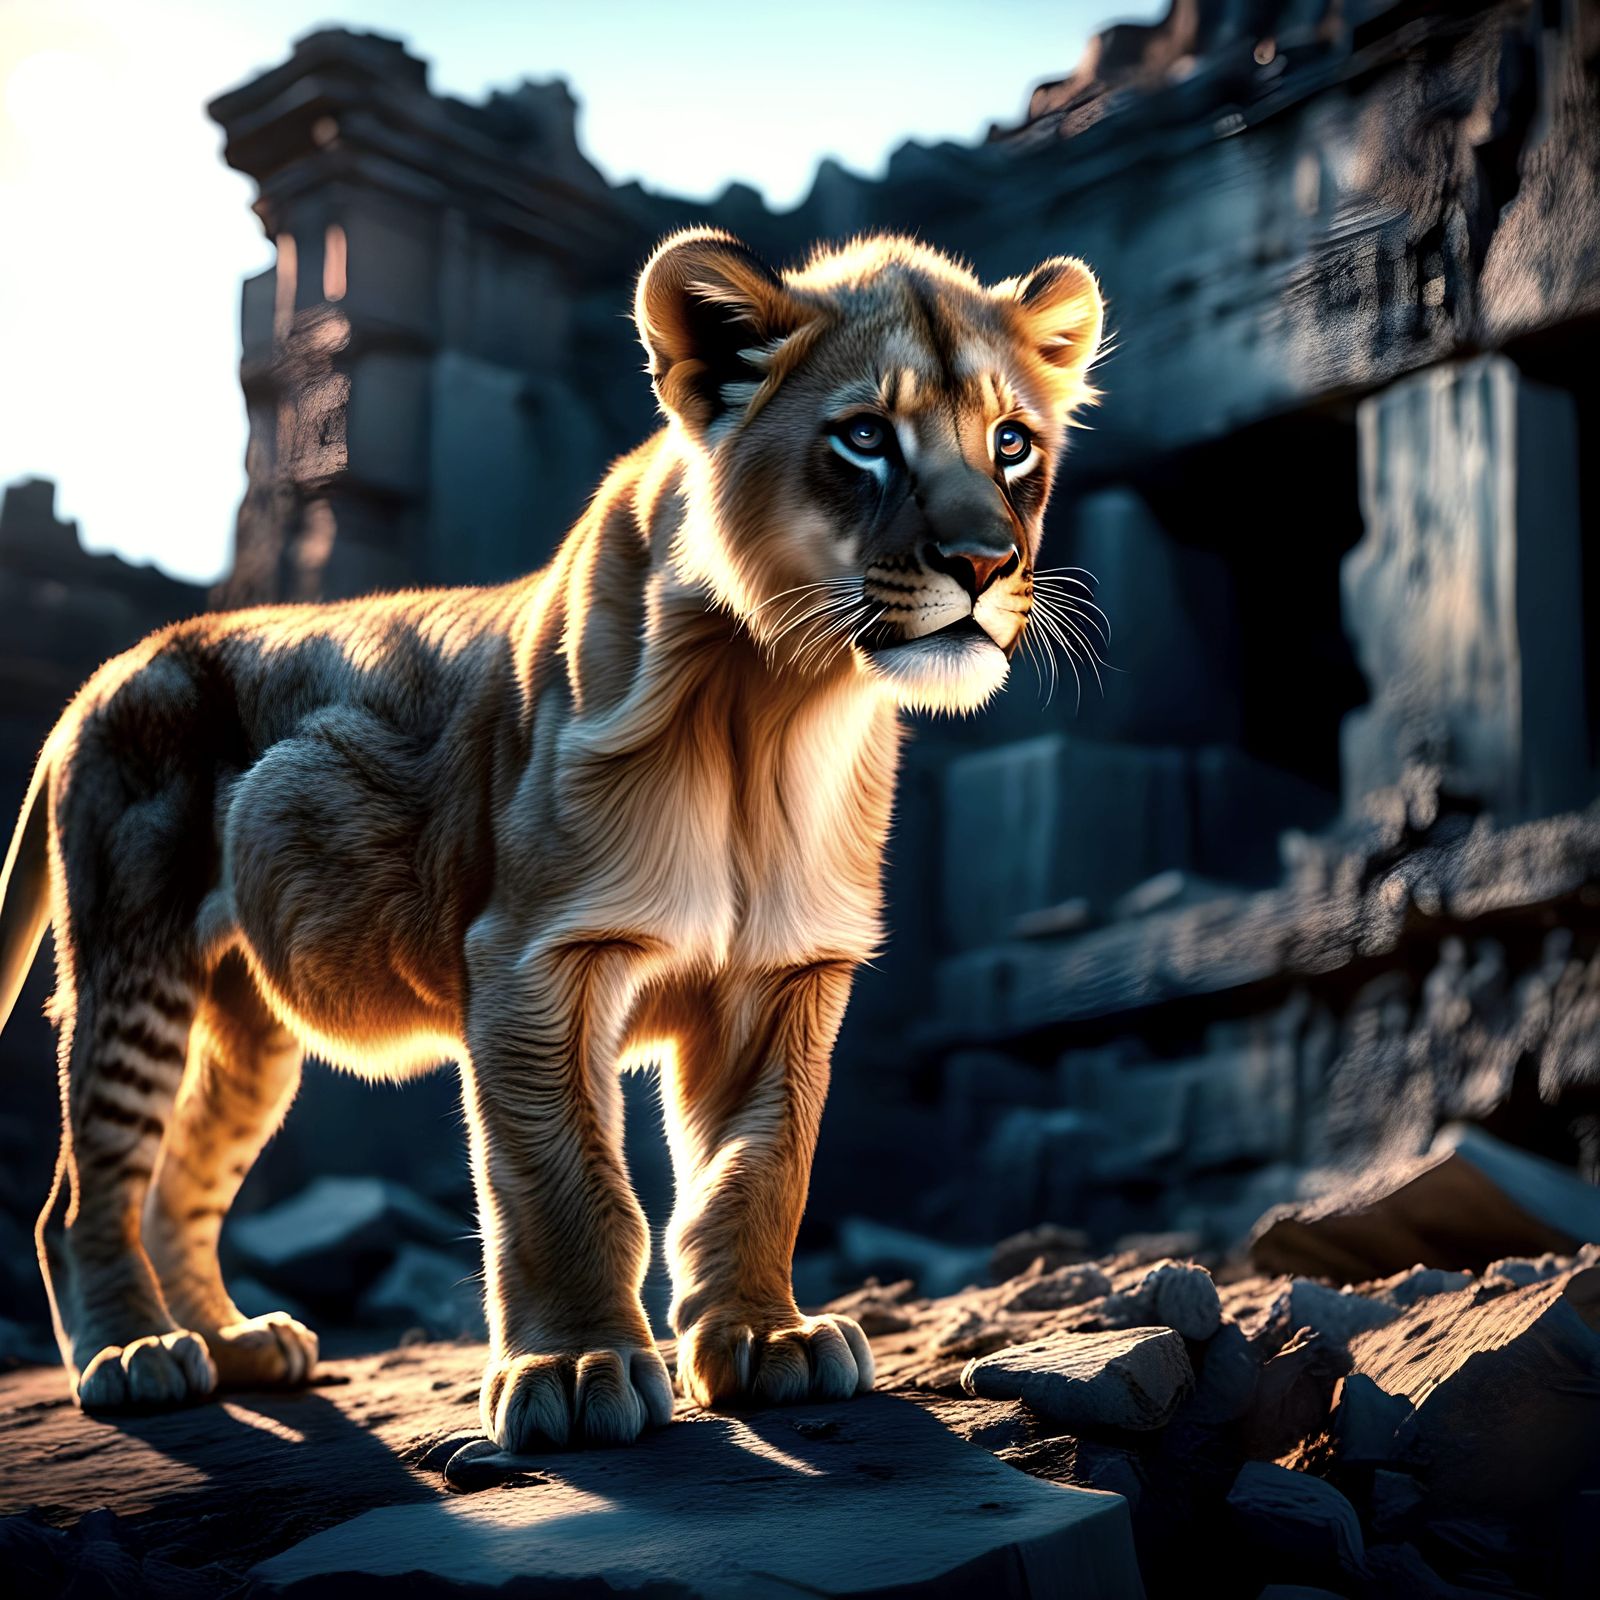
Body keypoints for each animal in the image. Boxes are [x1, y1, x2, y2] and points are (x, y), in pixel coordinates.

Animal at [0, 228, 1103, 1447]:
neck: (775, 705)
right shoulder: (535, 956)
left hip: (247, 1022)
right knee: (86, 1184)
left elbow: (762, 1169)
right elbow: (562, 1177)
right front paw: (576, 1370)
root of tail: (112, 667)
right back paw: (136, 1352)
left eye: (1011, 442)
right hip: (132, 953)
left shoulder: (786, 971)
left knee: (180, 1178)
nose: (985, 563)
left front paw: (768, 1339)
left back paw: (240, 1342)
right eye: (864, 436)